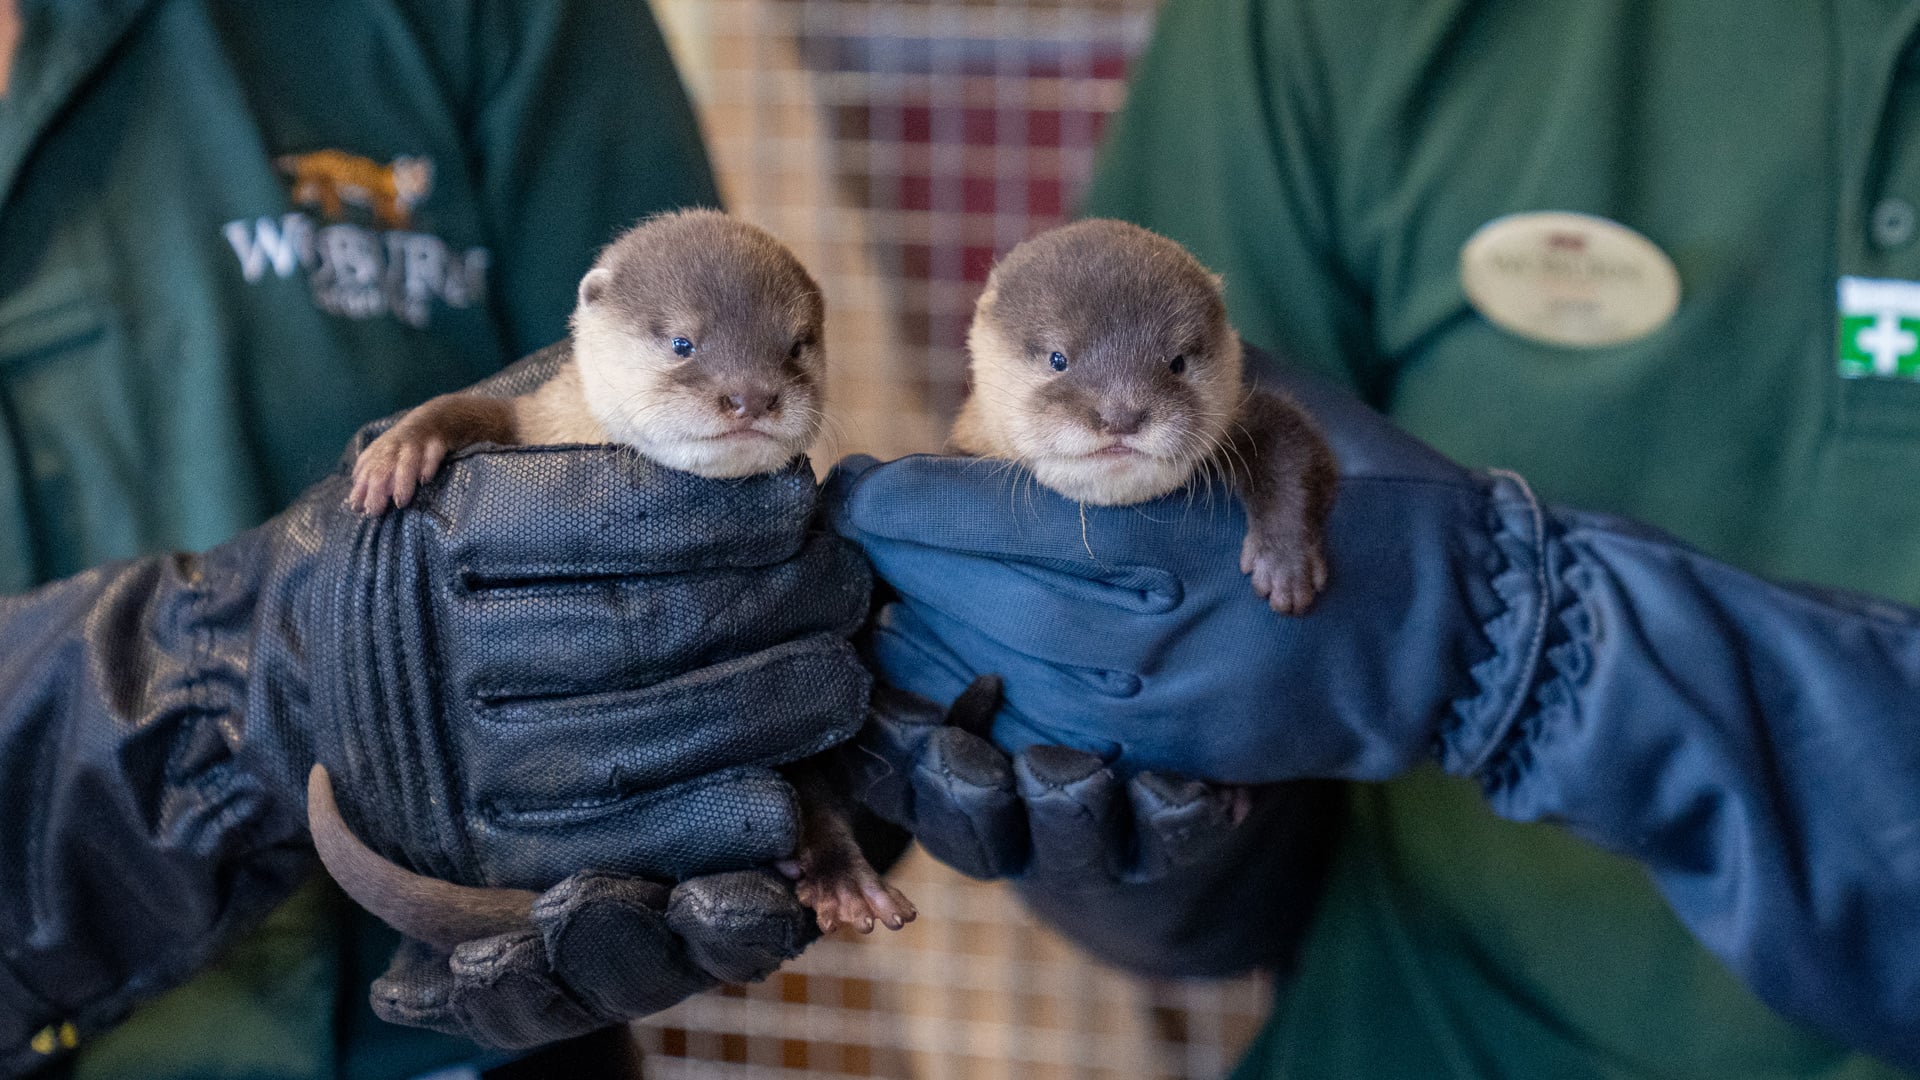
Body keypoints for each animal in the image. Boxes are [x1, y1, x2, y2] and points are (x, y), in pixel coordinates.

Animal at [314, 209, 914, 943]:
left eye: (797, 346)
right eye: (683, 342)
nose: (752, 396)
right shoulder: (534, 414)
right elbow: (466, 408)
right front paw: (398, 452)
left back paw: (842, 879)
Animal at [952, 219, 1335, 614]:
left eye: (1177, 363)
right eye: (1058, 359)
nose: (1121, 415)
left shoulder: (1244, 411)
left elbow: (1290, 444)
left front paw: (1286, 563)